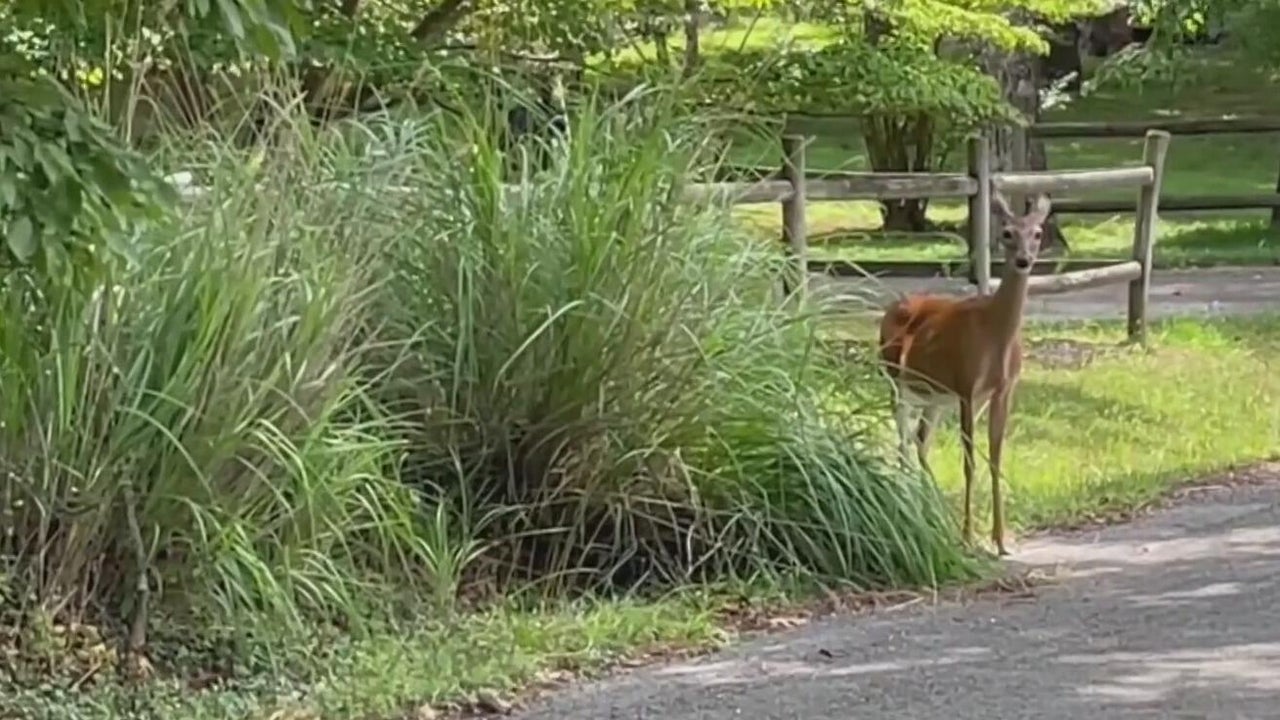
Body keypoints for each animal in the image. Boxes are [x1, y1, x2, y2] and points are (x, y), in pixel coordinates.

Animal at [877, 191, 1051, 557]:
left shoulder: (1002, 391)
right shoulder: (967, 387)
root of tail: (892, 306)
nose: (1024, 261)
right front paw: (968, 536)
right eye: (1007, 233)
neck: (995, 335)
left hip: (934, 397)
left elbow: (996, 458)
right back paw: (912, 507)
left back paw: (931, 510)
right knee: (902, 441)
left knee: (919, 440)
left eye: (1038, 233)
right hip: (895, 380)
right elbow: (969, 462)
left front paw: (1000, 540)